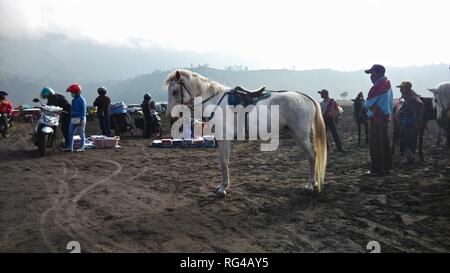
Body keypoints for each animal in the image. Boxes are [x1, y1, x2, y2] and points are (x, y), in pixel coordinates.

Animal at [165, 69, 326, 197]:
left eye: (174, 91)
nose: (170, 116)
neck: (216, 102)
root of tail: (305, 97)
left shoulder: (225, 138)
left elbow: (224, 162)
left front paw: (223, 188)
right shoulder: (220, 139)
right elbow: (221, 161)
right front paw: (221, 185)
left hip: (301, 135)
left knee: (312, 156)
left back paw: (310, 185)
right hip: (296, 135)